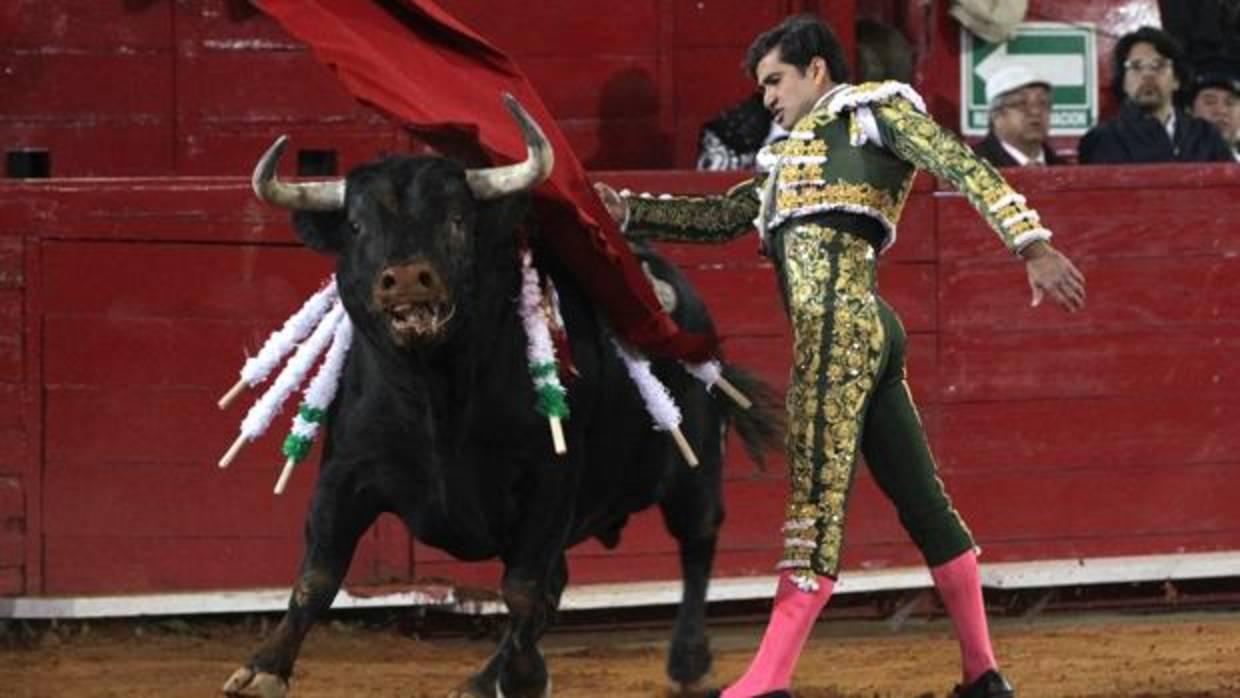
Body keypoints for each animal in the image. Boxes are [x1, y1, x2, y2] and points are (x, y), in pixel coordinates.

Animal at [224, 101, 778, 694]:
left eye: (457, 219)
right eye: (356, 225)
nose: (407, 279)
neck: (435, 391)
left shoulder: (548, 481)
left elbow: (522, 589)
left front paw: (526, 676)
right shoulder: (346, 471)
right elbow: (317, 575)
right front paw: (263, 668)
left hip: (693, 466)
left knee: (697, 542)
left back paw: (689, 661)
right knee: (561, 581)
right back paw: (483, 677)